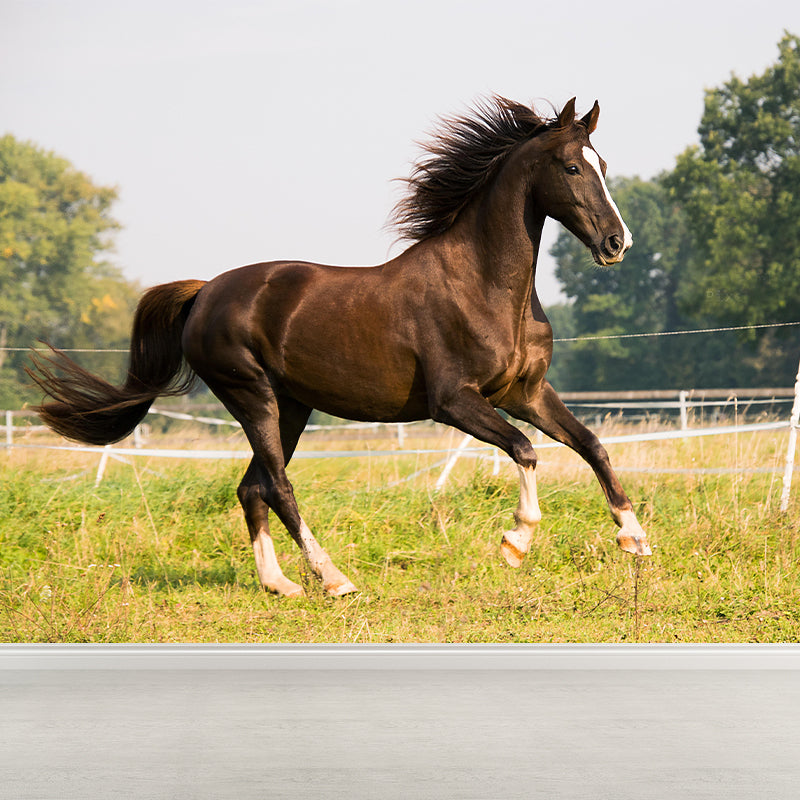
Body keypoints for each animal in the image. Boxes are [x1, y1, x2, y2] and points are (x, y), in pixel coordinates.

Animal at [28, 96, 651, 599]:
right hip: (251, 396)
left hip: (292, 406)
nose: (616, 243)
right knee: (277, 486)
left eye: (603, 165)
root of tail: (205, 292)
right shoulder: (455, 402)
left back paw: (279, 584)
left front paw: (635, 538)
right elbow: (525, 450)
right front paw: (515, 542)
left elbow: (591, 445)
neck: (484, 286)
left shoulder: (526, 392)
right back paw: (334, 579)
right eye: (571, 166)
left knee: (251, 487)